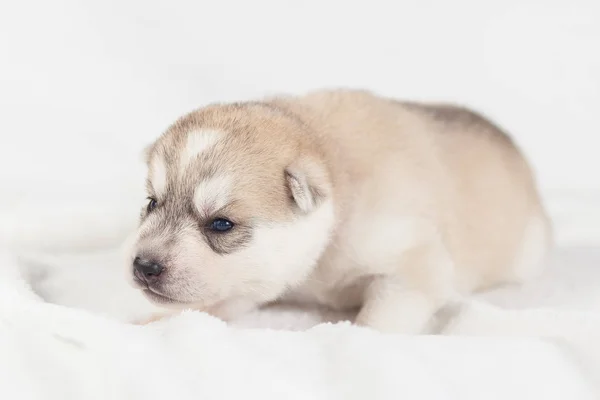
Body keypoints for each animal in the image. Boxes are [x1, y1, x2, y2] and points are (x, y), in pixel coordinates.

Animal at [126, 89, 552, 332]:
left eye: (221, 224)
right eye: (151, 203)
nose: (143, 266)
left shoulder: (411, 264)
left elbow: (382, 317)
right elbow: (218, 302)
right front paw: (157, 321)